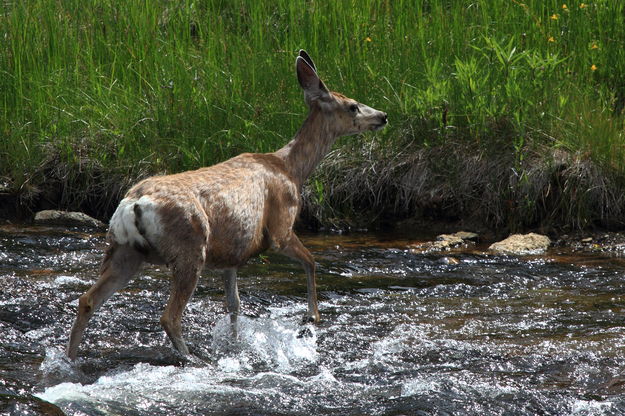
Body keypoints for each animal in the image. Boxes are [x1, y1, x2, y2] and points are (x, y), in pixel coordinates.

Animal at [67, 50, 386, 360]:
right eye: (353, 106)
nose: (383, 115)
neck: (291, 169)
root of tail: (132, 204)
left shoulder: (232, 253)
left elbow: (234, 304)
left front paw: (234, 343)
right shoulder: (280, 226)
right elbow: (311, 261)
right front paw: (311, 317)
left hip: (124, 250)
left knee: (87, 300)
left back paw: (71, 358)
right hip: (189, 247)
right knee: (169, 316)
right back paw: (193, 359)